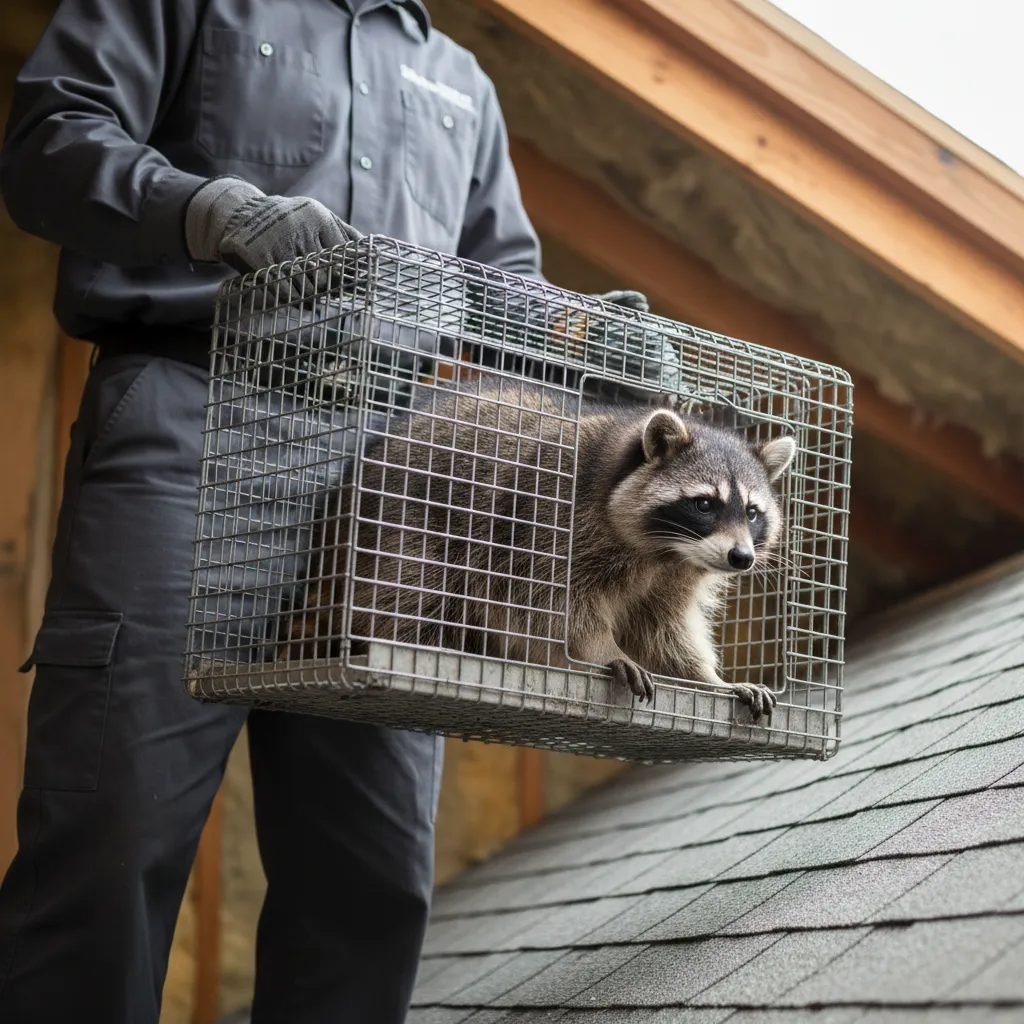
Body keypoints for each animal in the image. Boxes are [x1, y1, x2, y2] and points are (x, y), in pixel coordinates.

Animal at [281, 380, 795, 721]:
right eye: (705, 504)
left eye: (752, 512)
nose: (742, 558)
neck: (667, 552)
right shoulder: (548, 522)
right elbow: (549, 606)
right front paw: (601, 649)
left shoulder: (675, 576)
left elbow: (663, 629)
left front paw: (708, 679)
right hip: (402, 517)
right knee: (413, 588)